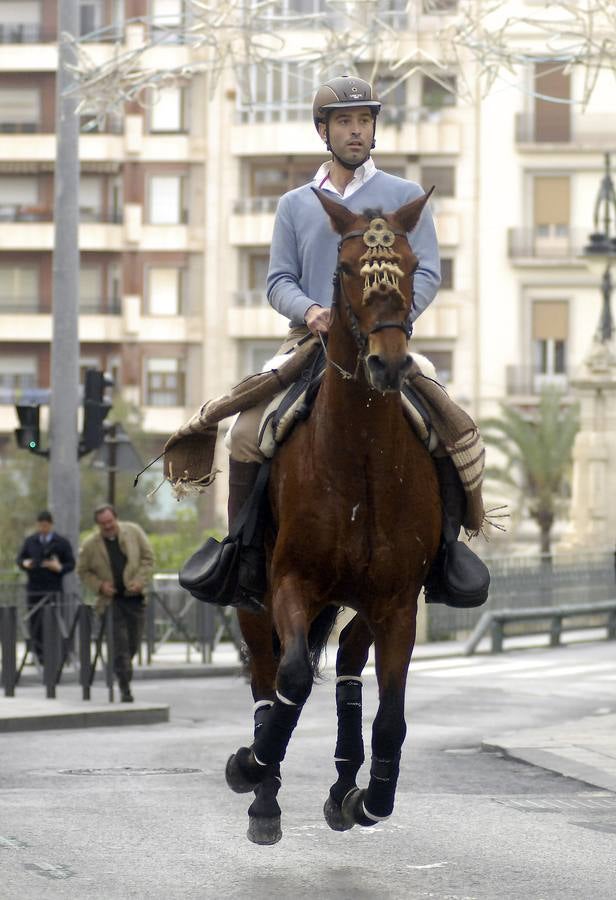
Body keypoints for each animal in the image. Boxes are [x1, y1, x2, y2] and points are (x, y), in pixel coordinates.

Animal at [224, 188, 440, 844]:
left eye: (412, 261)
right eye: (345, 269)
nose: (388, 365)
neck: (360, 459)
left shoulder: (396, 602)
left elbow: (391, 717)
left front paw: (372, 799)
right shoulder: (291, 582)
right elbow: (292, 680)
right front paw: (252, 767)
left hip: (364, 602)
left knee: (346, 662)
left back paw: (345, 786)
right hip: (258, 601)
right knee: (268, 677)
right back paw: (264, 793)